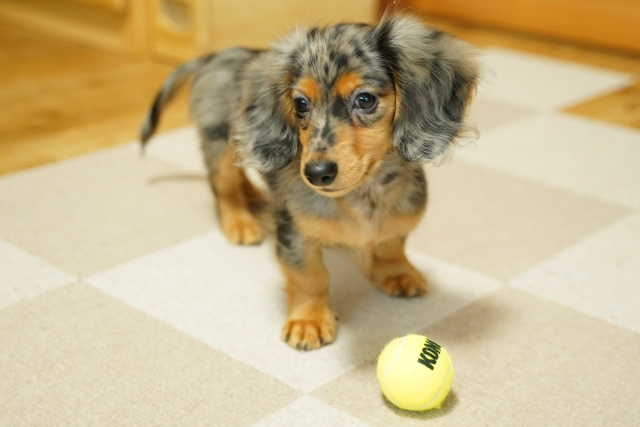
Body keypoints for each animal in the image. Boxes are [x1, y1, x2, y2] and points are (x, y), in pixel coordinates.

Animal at [141, 15, 480, 352]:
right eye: (301, 104)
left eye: (365, 99)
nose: (316, 173)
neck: (362, 195)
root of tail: (218, 55)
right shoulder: (295, 233)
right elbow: (310, 277)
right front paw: (309, 320)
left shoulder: (401, 215)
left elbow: (391, 244)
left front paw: (397, 273)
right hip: (220, 143)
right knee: (224, 188)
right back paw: (240, 222)